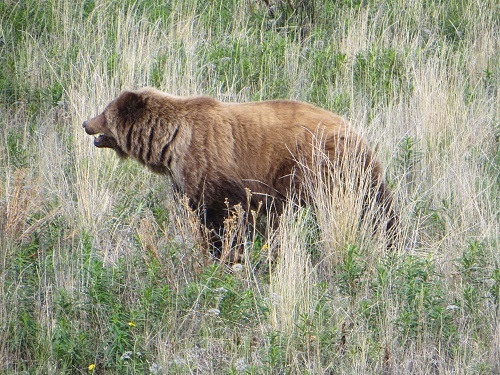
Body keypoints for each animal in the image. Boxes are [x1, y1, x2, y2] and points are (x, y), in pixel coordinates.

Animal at [82, 88, 396, 258]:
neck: (172, 142)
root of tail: (354, 130)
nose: (86, 123)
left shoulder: (211, 167)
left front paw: (222, 251)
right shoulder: (184, 179)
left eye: (105, 112)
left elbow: (222, 217)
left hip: (318, 166)